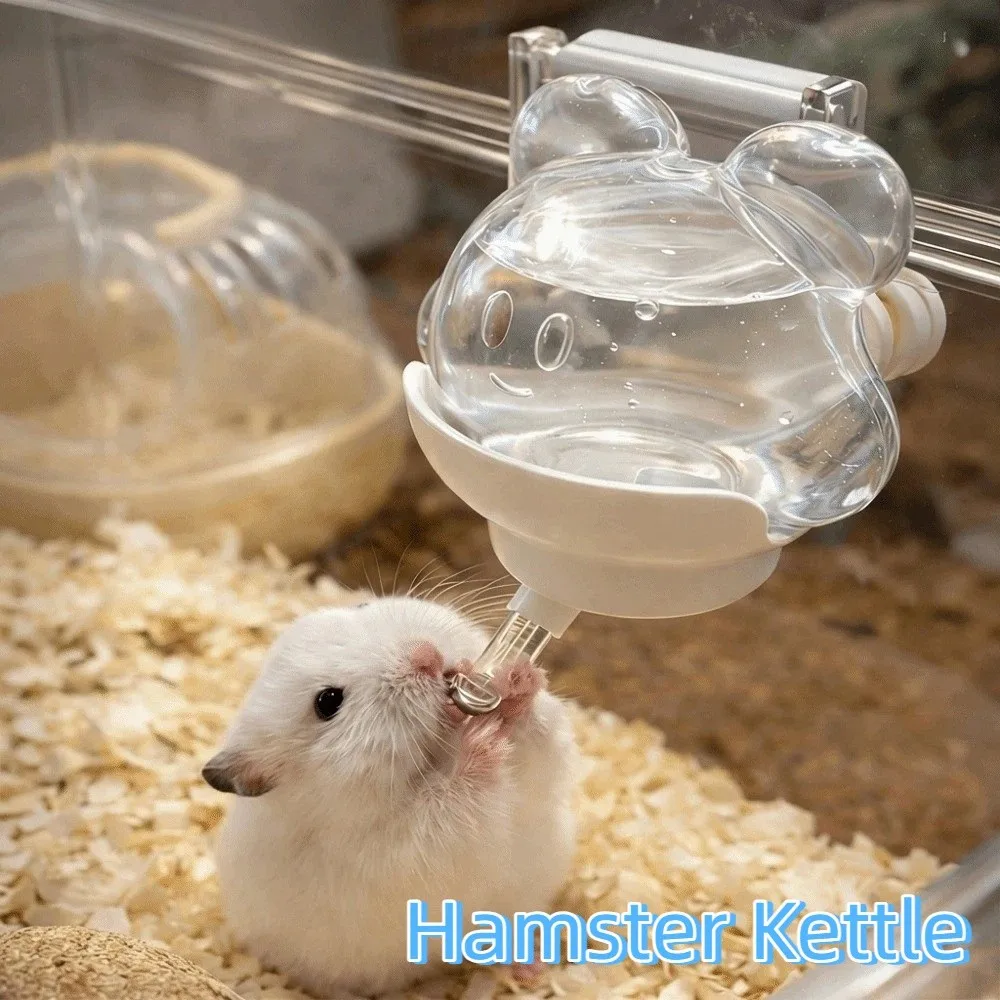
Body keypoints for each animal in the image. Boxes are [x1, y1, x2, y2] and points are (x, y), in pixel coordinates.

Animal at [202, 596, 578, 997]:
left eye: (361, 603)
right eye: (328, 701)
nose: (427, 655)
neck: (431, 757)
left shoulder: (537, 773)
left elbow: (540, 741)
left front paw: (515, 680)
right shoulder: (409, 847)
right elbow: (453, 803)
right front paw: (479, 742)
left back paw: (532, 968)